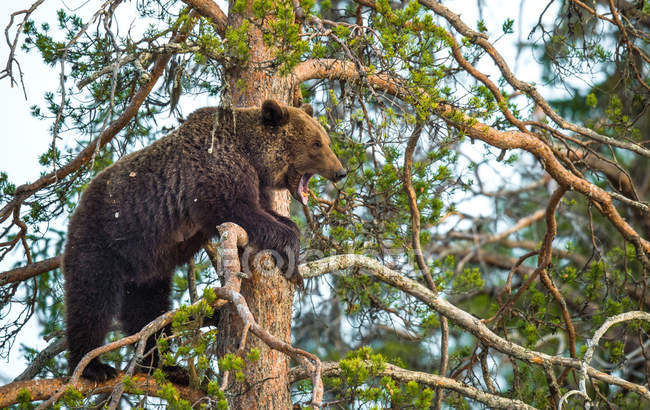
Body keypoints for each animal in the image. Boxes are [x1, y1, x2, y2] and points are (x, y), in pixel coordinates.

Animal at [63, 99, 346, 382]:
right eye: (317, 144)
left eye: (325, 140)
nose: (341, 172)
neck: (251, 155)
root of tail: (79, 203)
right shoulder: (213, 170)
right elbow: (238, 210)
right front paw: (292, 260)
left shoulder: (256, 185)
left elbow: (269, 215)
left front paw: (291, 233)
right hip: (103, 239)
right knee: (91, 300)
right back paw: (93, 366)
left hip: (147, 266)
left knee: (148, 309)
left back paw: (164, 366)